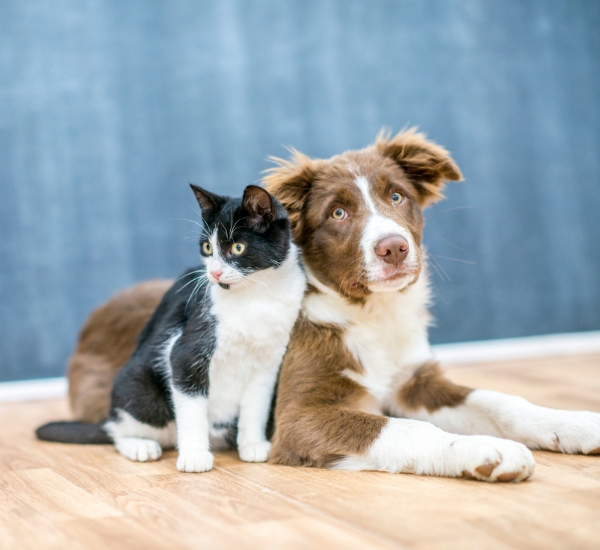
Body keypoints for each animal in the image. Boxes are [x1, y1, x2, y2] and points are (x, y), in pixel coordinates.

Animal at [37, 184, 308, 474]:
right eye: (207, 247)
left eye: (237, 247)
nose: (214, 274)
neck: (255, 297)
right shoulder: (185, 352)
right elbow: (191, 408)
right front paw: (195, 456)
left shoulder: (268, 363)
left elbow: (256, 405)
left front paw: (253, 445)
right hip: (140, 391)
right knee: (118, 430)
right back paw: (140, 445)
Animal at [262, 129, 600, 484]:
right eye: (337, 213)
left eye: (397, 197)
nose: (394, 248)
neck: (376, 314)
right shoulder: (299, 416)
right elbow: (407, 429)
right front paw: (485, 449)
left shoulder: (414, 382)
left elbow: (497, 400)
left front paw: (573, 422)